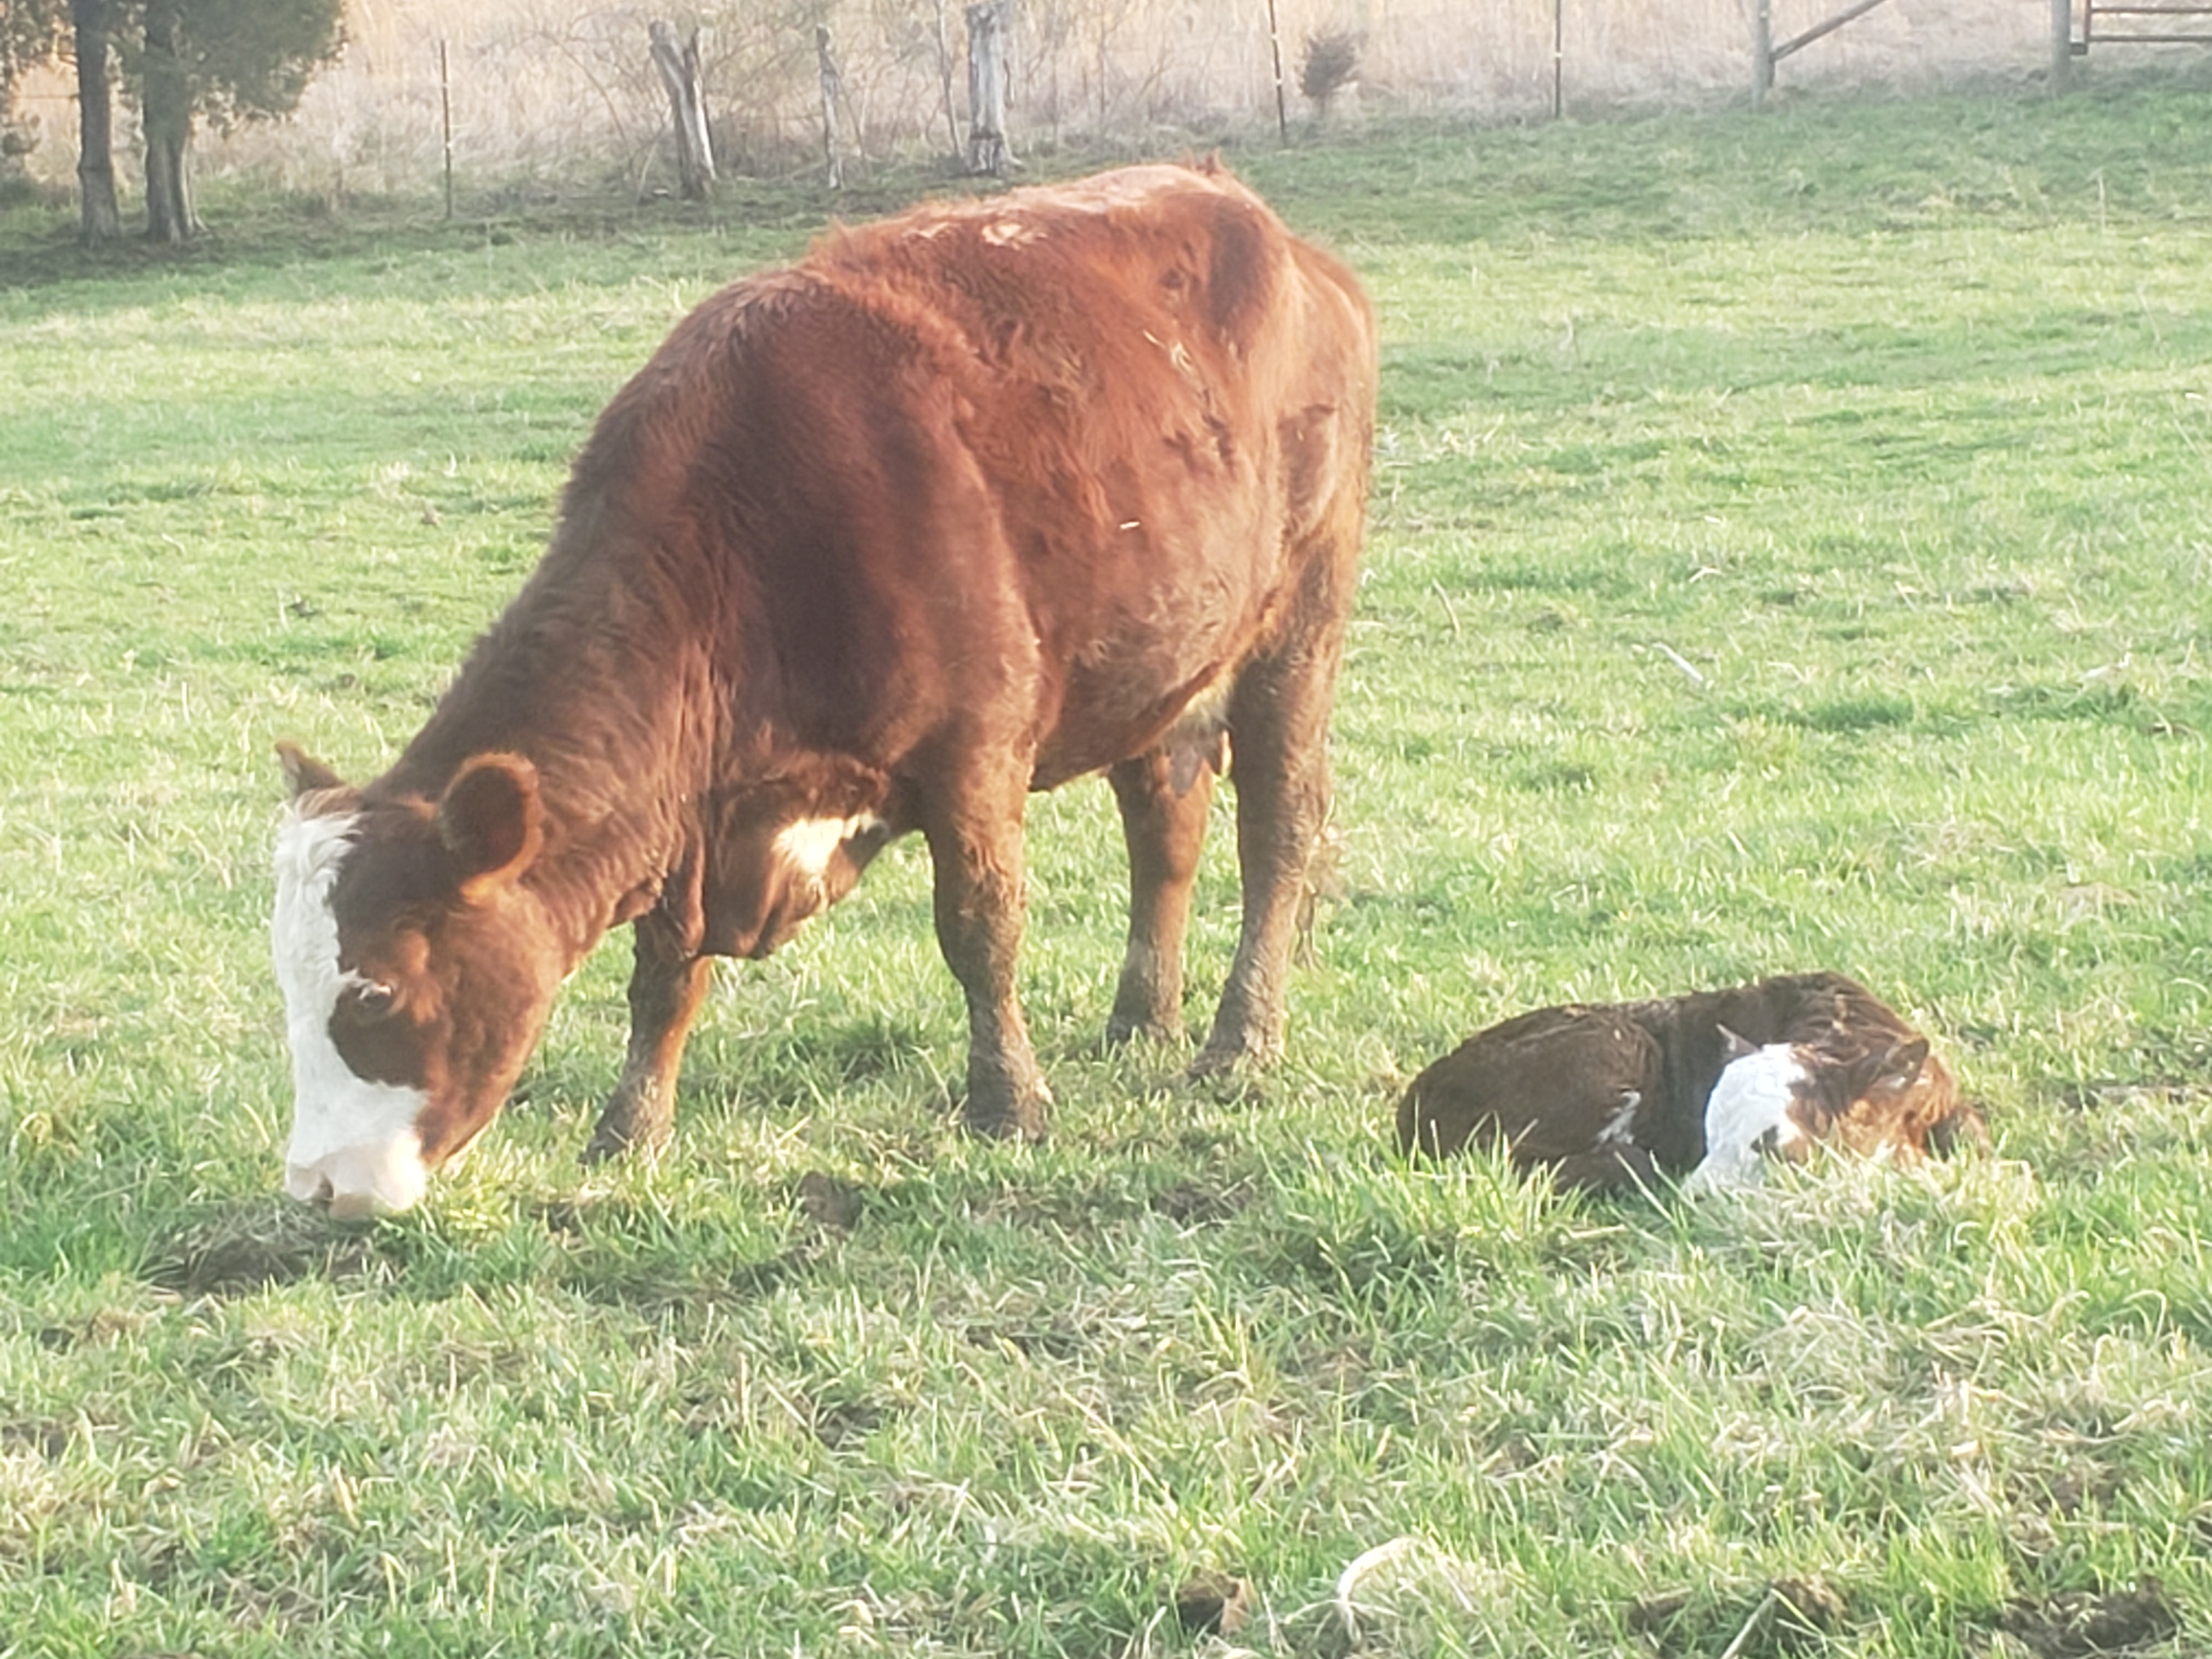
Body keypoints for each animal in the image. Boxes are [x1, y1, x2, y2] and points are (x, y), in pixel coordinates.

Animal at [267, 166, 1371, 1221]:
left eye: (374, 995)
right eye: (286, 984)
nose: (320, 1183)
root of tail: (1279, 234)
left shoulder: (974, 751)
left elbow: (980, 929)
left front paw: (1007, 1104)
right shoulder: (689, 816)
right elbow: (664, 977)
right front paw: (629, 1133)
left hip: (1300, 618)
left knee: (1277, 826)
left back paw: (1238, 1041)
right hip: (1160, 659)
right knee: (1164, 824)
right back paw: (1142, 1021)